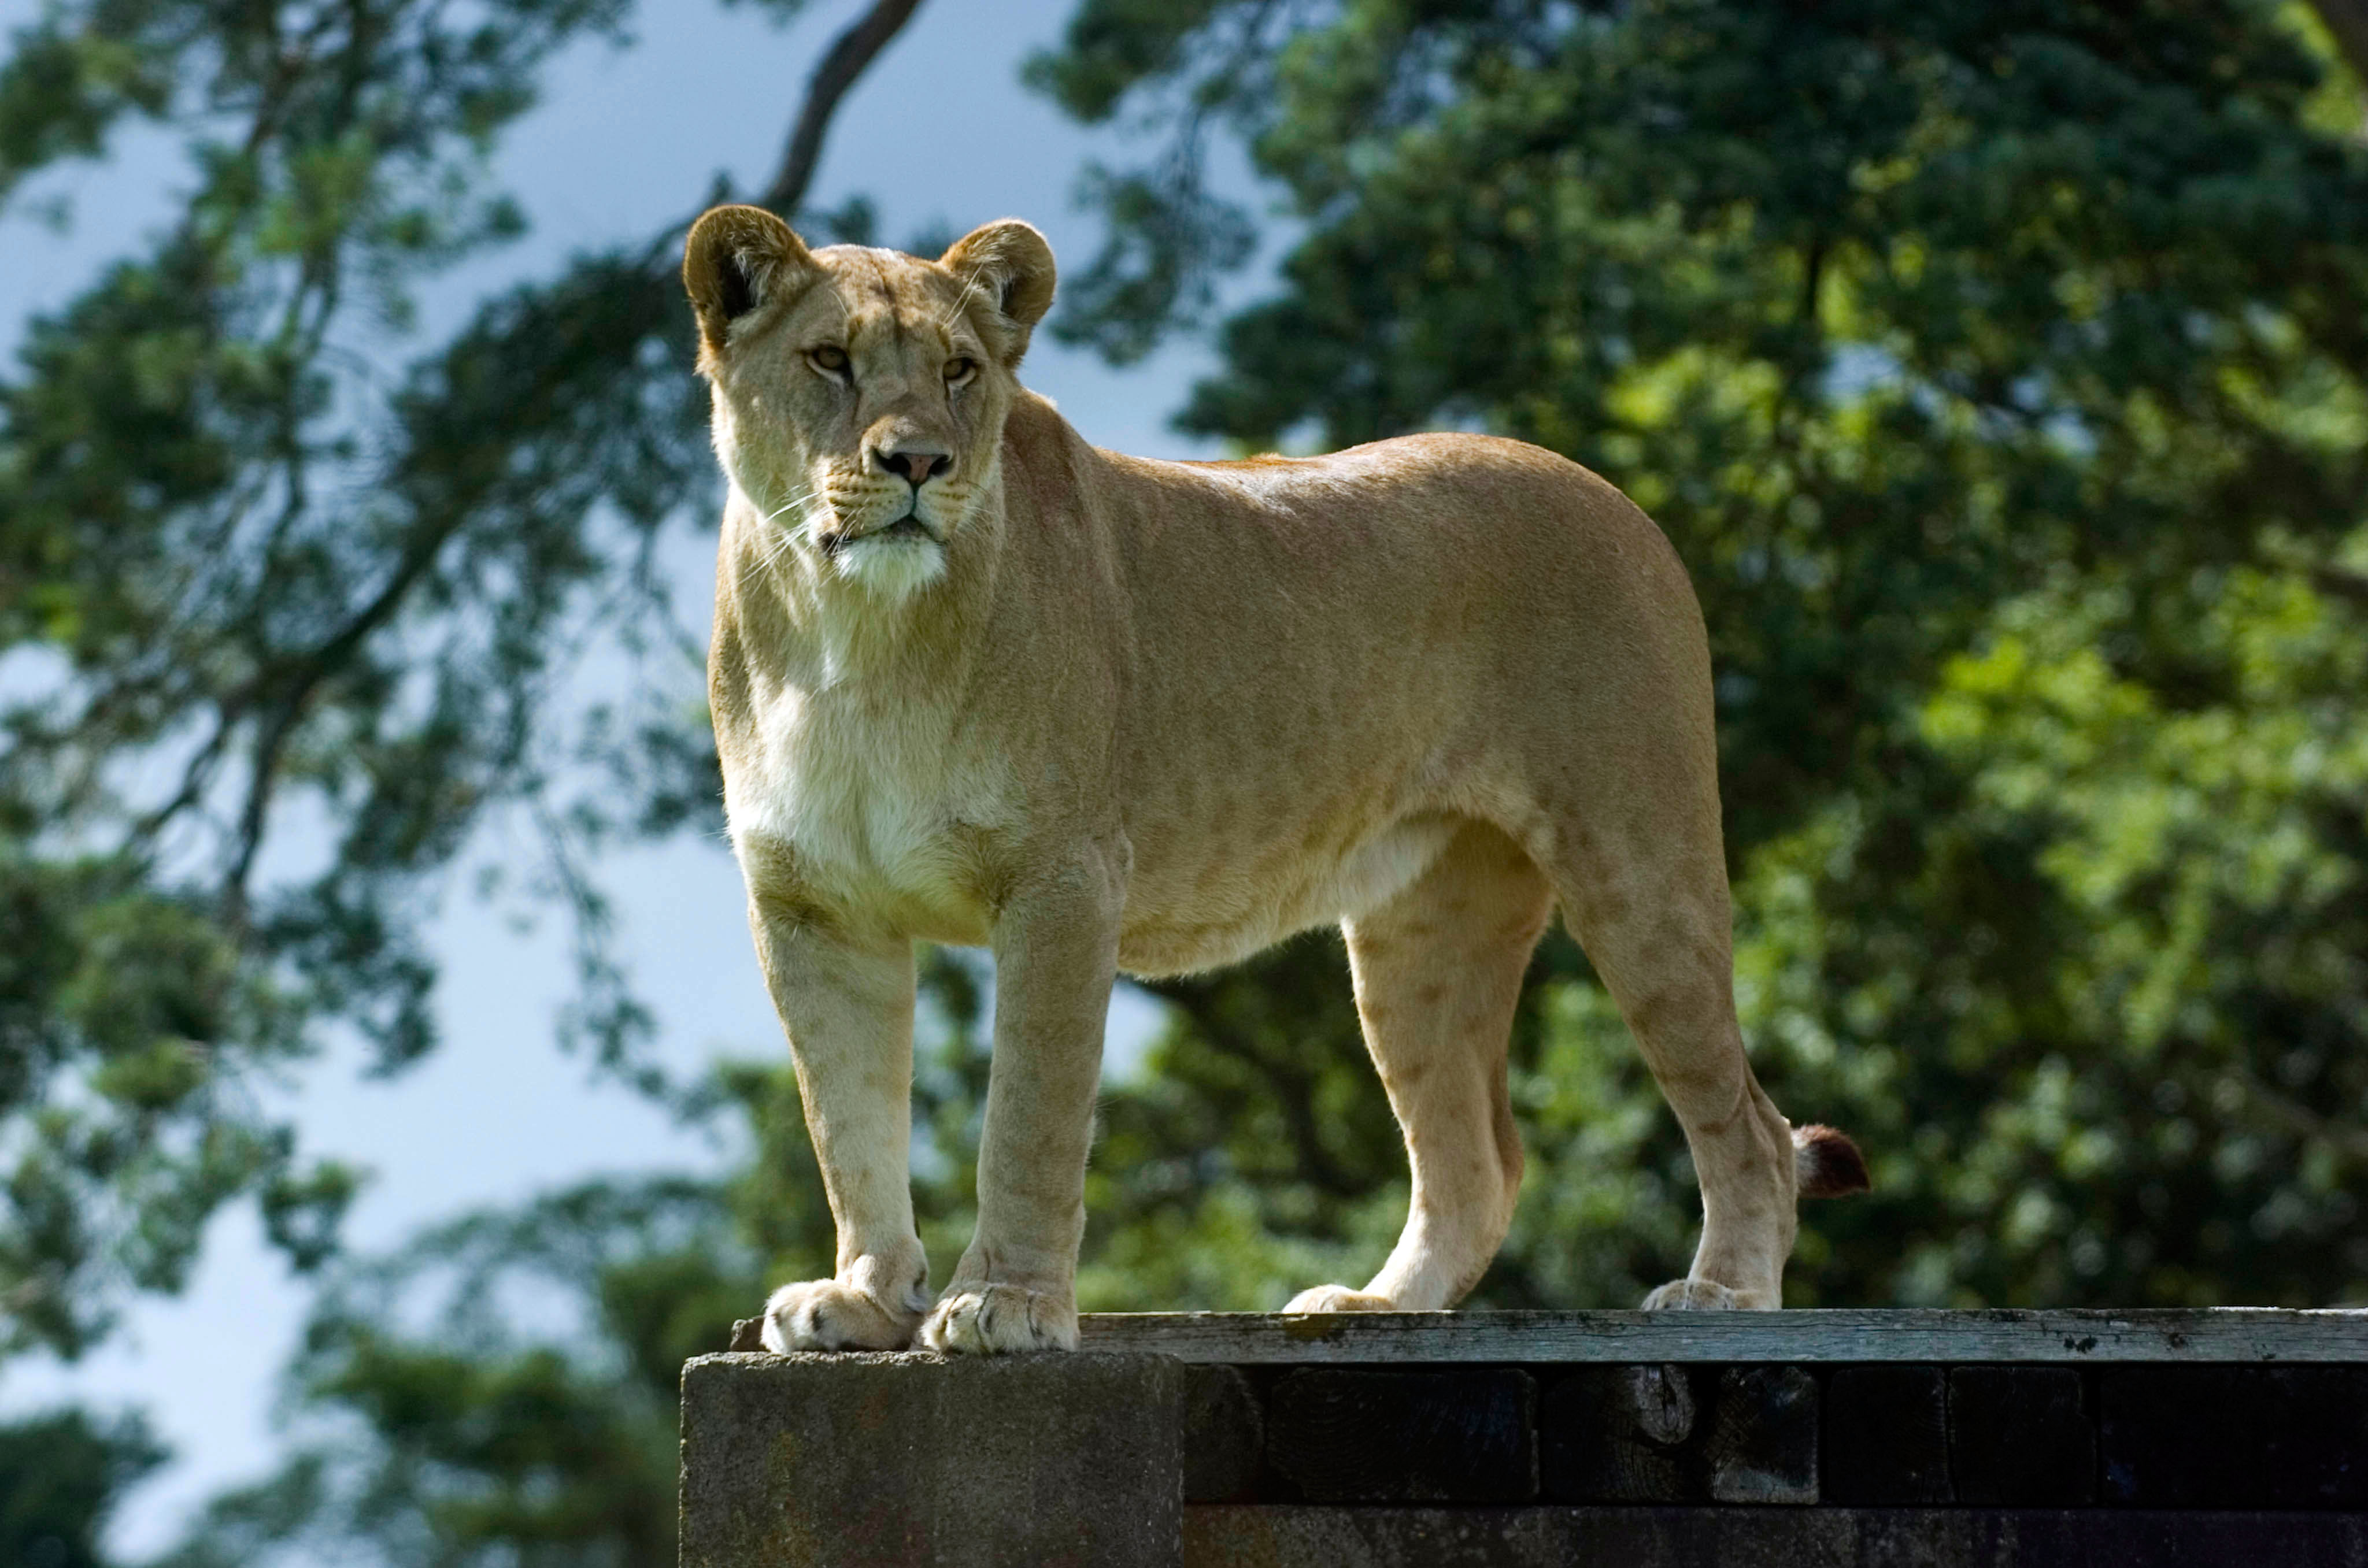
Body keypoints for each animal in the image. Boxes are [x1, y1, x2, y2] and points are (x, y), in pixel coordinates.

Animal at [682, 204, 1867, 1356]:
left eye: (961, 370)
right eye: (829, 359)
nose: (921, 462)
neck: (854, 636)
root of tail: (1613, 494)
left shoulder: (1063, 880)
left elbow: (1028, 1113)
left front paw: (1006, 1303)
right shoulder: (813, 907)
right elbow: (848, 1121)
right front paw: (864, 1298)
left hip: (1638, 867)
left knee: (1750, 1124)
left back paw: (1724, 1292)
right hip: (1421, 931)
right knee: (1478, 1159)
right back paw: (1376, 1306)